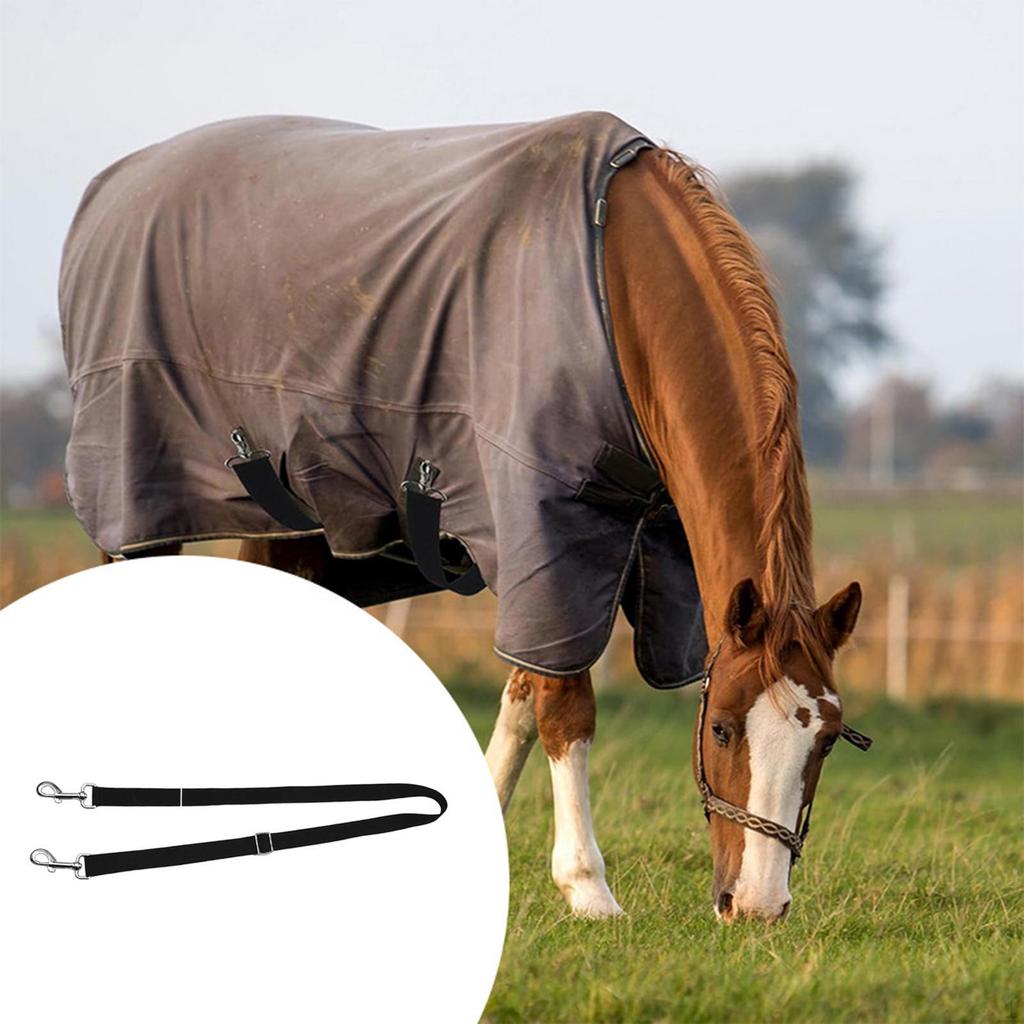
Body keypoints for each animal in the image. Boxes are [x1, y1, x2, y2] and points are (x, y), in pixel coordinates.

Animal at [68, 115, 863, 922]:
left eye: (828, 741)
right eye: (725, 728)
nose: (758, 905)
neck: (616, 295)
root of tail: (115, 183)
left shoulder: (607, 548)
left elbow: (523, 696)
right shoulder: (543, 528)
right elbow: (564, 708)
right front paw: (587, 887)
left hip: (286, 535)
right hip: (141, 512)